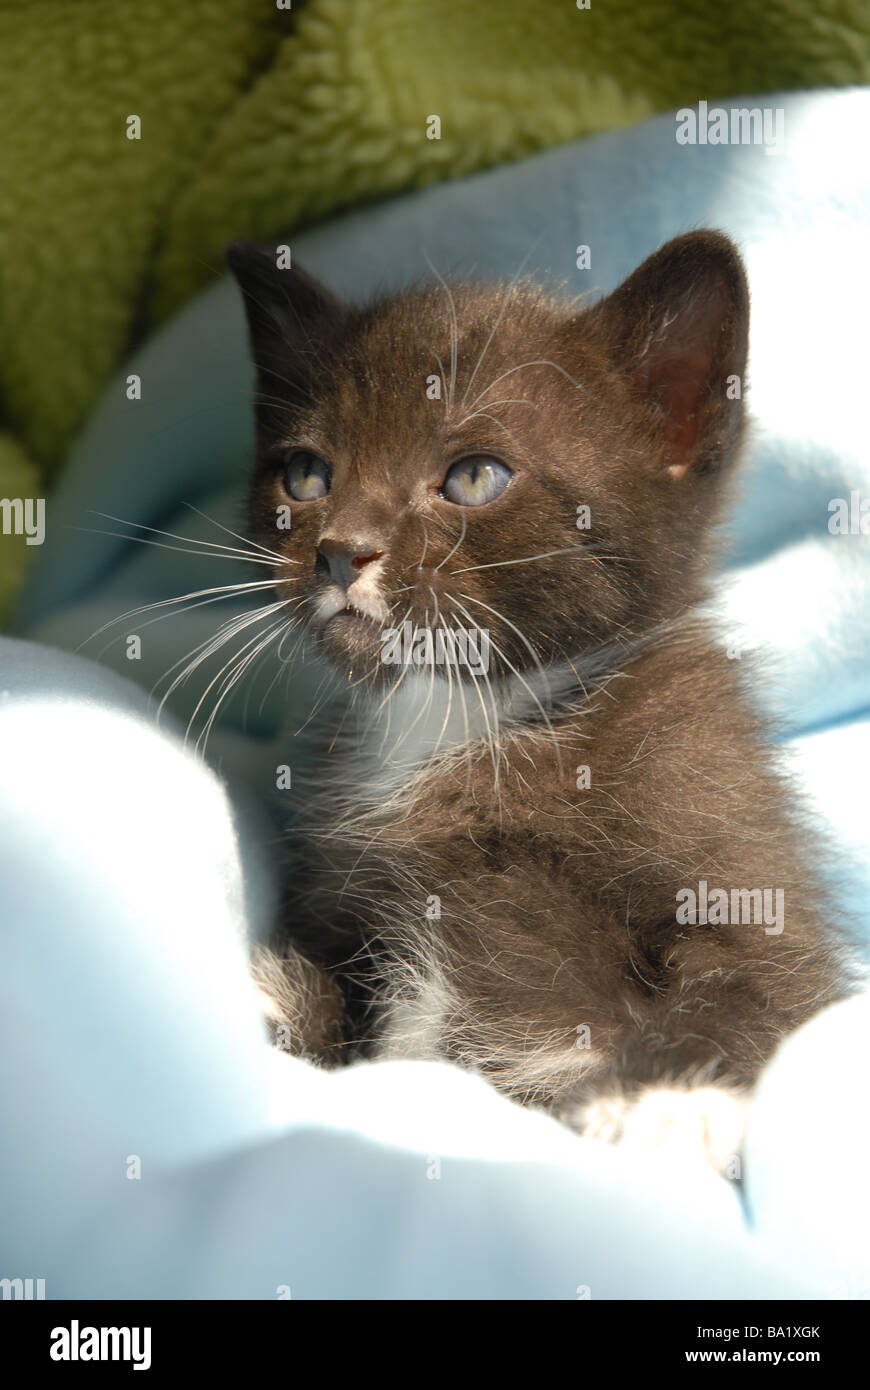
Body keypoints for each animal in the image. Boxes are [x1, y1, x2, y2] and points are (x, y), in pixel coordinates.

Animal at [223, 233, 844, 1167]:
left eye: (475, 477)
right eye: (305, 474)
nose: (339, 550)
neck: (465, 718)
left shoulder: (731, 837)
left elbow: (758, 987)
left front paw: (672, 1102)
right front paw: (271, 994)